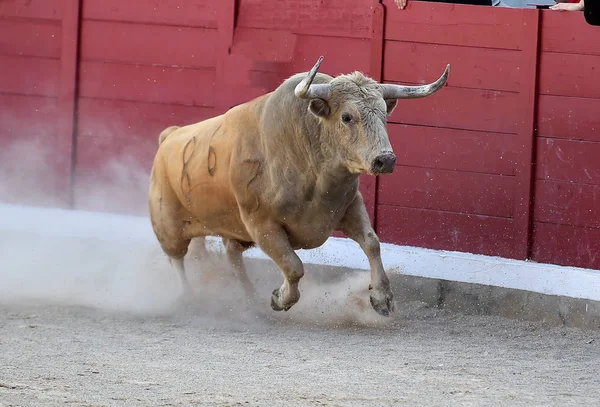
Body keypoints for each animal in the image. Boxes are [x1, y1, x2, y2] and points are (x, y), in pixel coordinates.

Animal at [149, 56, 450, 318]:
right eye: (347, 117)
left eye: (384, 114)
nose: (385, 160)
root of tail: (169, 136)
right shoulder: (262, 225)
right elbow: (294, 266)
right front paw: (280, 299)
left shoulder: (350, 205)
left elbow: (372, 243)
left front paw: (382, 299)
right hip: (169, 226)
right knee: (178, 260)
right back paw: (190, 298)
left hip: (231, 230)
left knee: (231, 257)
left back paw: (248, 299)